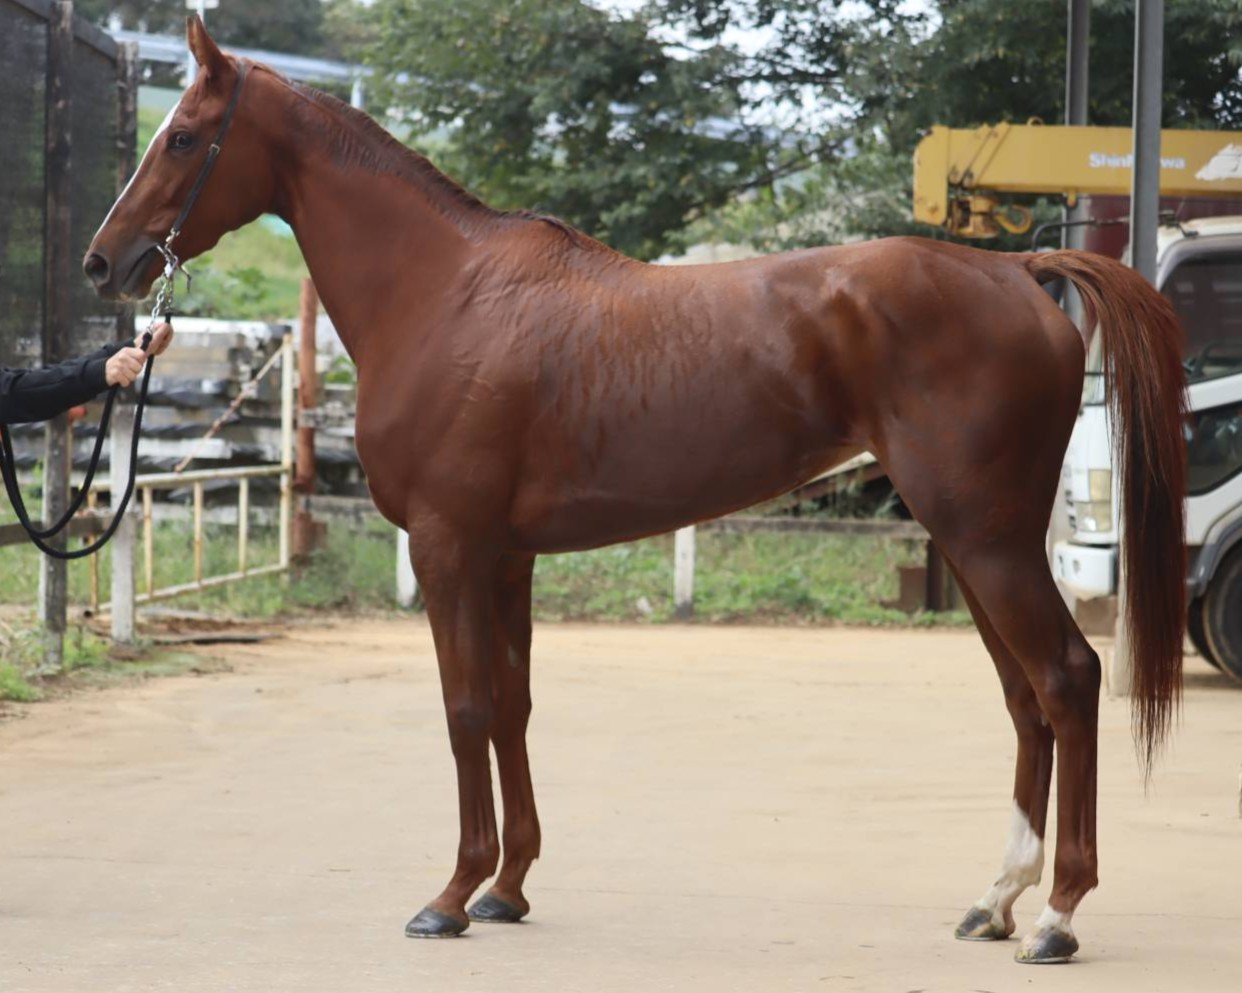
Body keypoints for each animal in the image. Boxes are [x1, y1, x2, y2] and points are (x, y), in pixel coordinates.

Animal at [84, 17, 1187, 965]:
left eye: (182, 137)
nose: (105, 263)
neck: (447, 294)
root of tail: (1020, 272)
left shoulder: (449, 548)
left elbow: (464, 708)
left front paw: (451, 896)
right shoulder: (505, 556)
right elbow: (514, 704)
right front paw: (509, 887)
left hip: (983, 538)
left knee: (1067, 680)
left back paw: (1058, 915)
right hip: (973, 540)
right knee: (1024, 697)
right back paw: (996, 899)